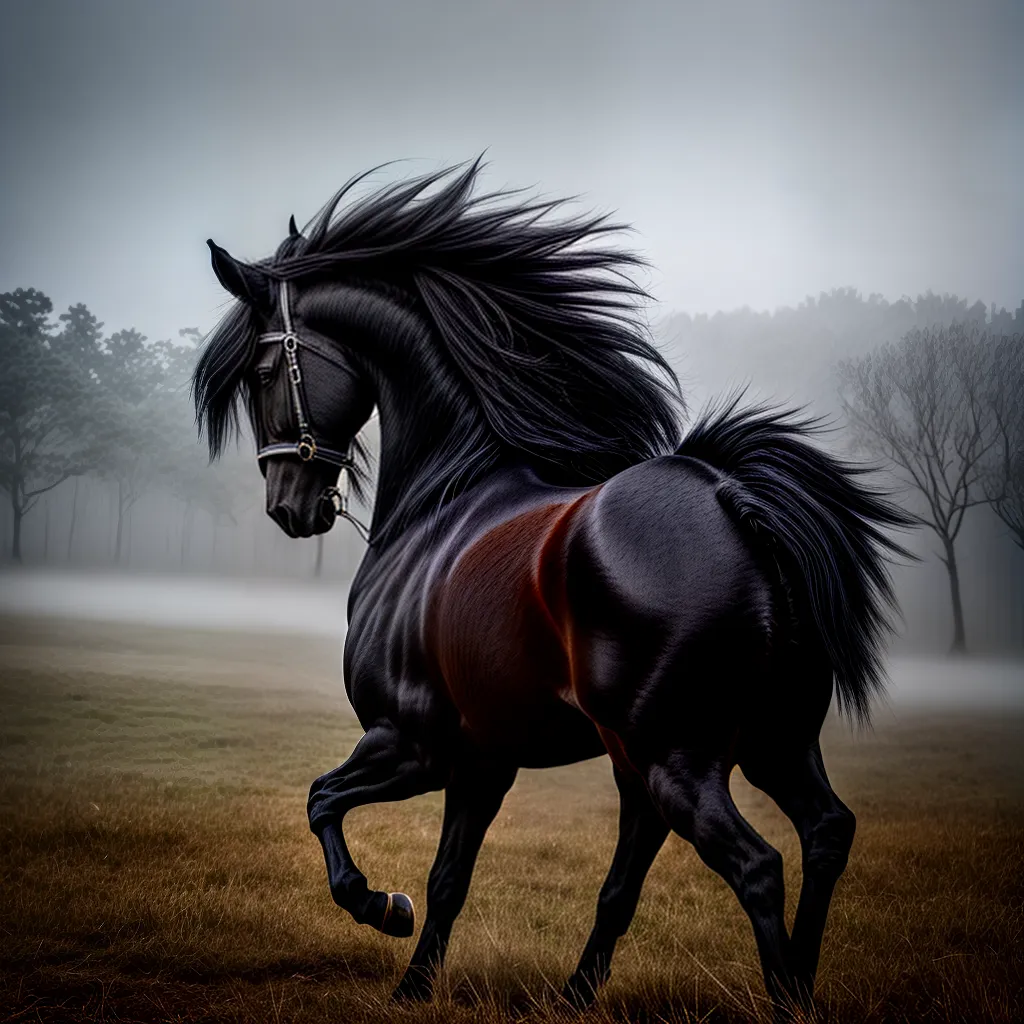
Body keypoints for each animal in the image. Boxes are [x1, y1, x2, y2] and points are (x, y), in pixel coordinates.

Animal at [193, 161, 911, 1013]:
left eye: (266, 370)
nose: (289, 507)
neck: (448, 498)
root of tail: (730, 502)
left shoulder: (411, 744)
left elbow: (321, 802)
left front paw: (381, 907)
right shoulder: (483, 762)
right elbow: (450, 880)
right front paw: (414, 986)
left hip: (675, 761)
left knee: (758, 865)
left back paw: (778, 998)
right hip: (760, 746)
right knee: (820, 834)